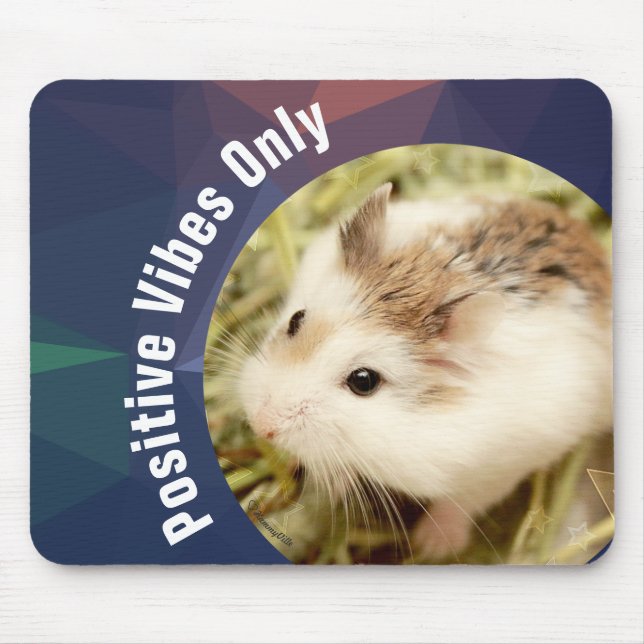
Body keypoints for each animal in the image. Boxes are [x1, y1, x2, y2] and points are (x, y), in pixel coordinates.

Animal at [238, 185, 612, 559]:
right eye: (295, 320)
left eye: (364, 381)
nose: (261, 425)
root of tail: (585, 236)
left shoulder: (499, 468)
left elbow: (460, 504)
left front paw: (430, 547)